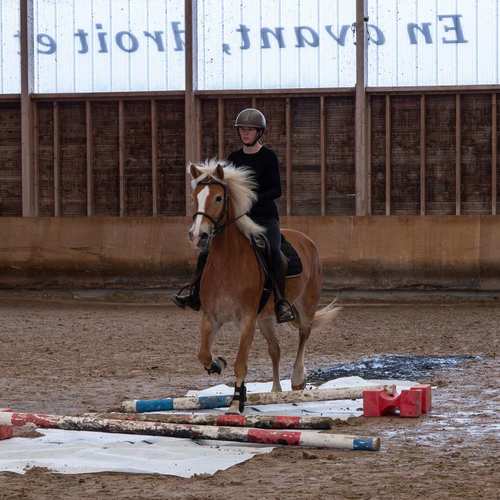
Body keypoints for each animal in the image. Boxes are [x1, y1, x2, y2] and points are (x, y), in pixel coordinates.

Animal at [188, 158, 344, 412]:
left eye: (219, 198)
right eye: (195, 197)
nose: (198, 235)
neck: (227, 263)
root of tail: (306, 240)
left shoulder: (247, 320)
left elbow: (241, 363)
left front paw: (235, 405)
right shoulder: (211, 317)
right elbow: (203, 354)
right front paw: (218, 364)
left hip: (305, 306)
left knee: (304, 334)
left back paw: (297, 379)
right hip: (266, 318)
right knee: (275, 349)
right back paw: (275, 391)